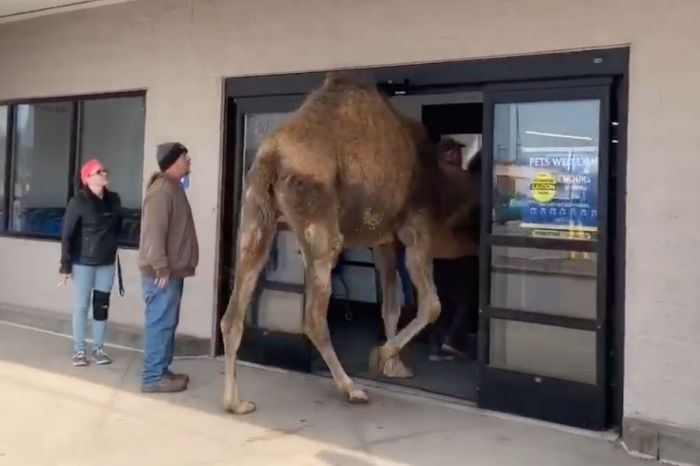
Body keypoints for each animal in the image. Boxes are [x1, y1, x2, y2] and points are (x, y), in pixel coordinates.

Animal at [220, 71, 480, 414]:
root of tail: (271, 157)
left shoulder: (384, 242)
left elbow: (390, 306)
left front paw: (394, 366)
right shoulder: (417, 232)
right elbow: (432, 305)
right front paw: (380, 357)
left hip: (255, 214)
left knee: (234, 311)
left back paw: (235, 403)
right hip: (318, 219)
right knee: (314, 315)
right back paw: (351, 388)